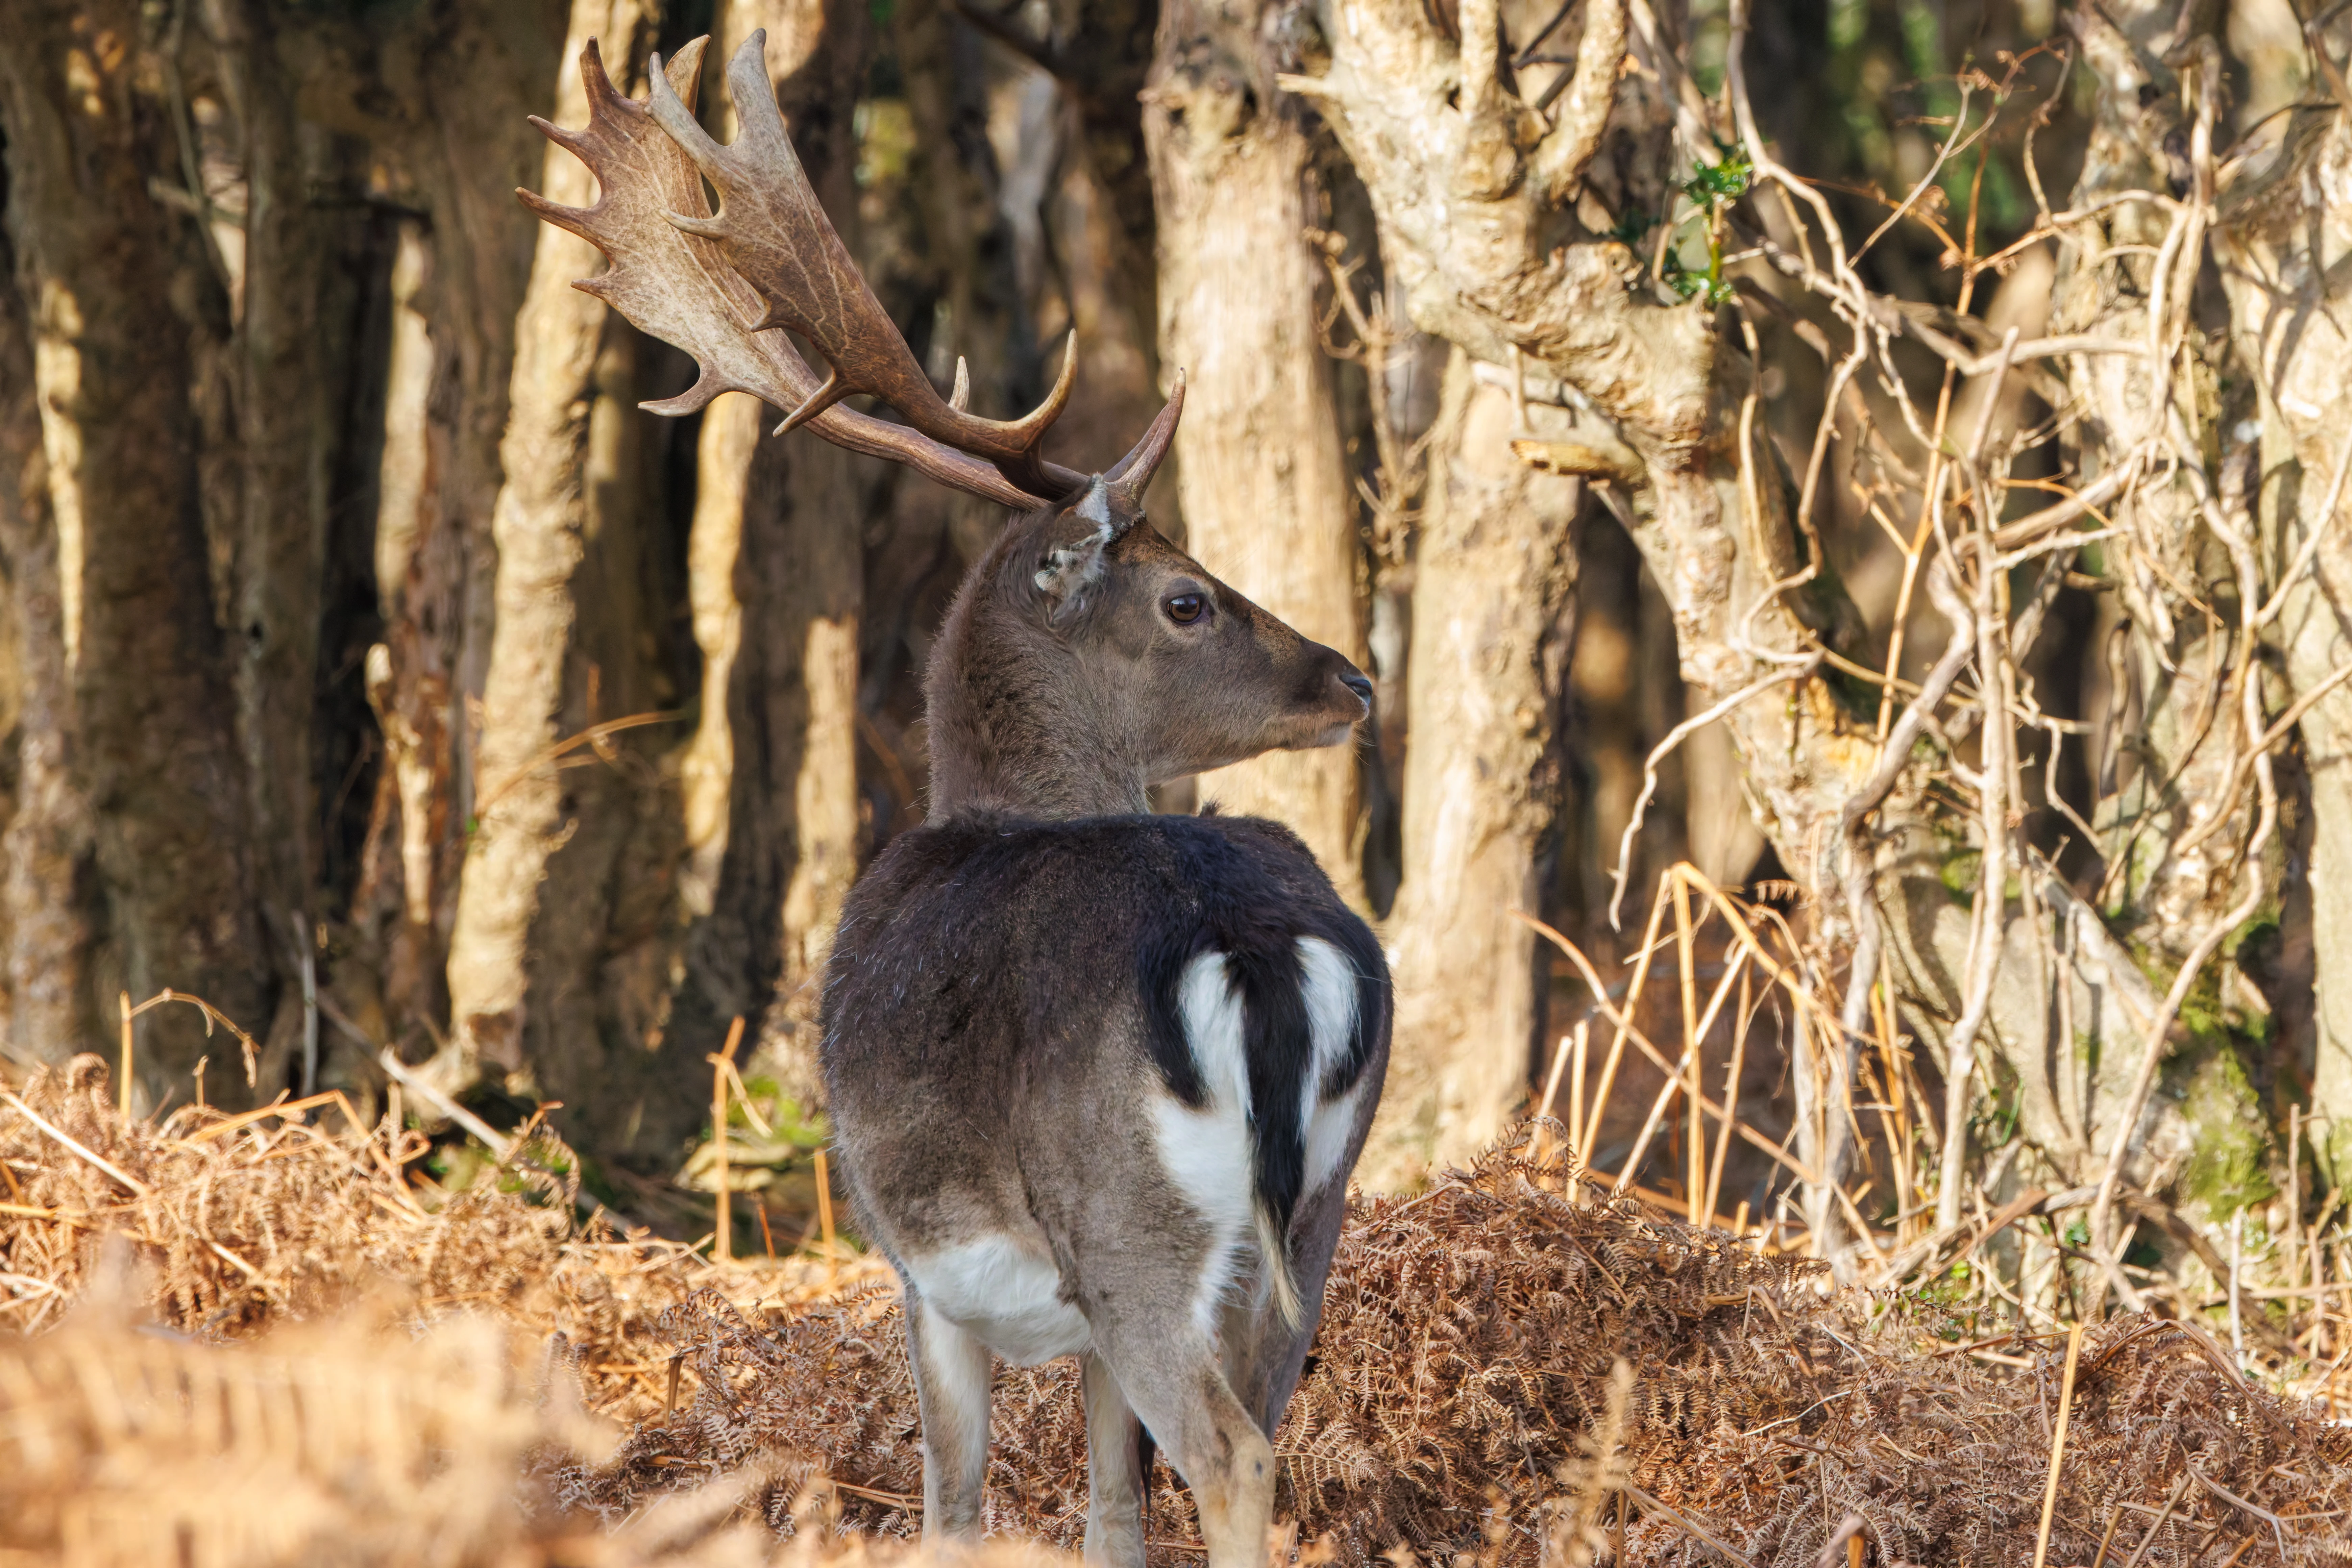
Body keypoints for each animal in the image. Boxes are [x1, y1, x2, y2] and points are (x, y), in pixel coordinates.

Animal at [522, 35, 1391, 1568]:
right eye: (1187, 597)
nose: (1349, 676)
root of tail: (1266, 954)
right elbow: (1110, 1510)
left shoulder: (912, 1266)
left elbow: (954, 1504)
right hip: (1315, 1213)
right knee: (1258, 1425)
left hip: (1127, 1218)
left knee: (1231, 1453)